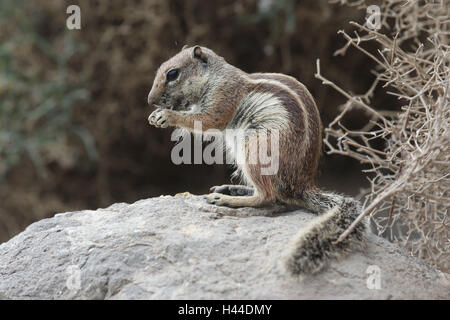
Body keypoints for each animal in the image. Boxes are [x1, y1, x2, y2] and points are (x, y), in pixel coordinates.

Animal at [147, 45, 366, 276]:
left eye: (172, 74)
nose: (150, 101)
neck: (215, 76)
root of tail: (301, 185)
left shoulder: (223, 98)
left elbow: (206, 120)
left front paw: (166, 116)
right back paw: (233, 189)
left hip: (255, 147)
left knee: (267, 196)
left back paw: (227, 199)